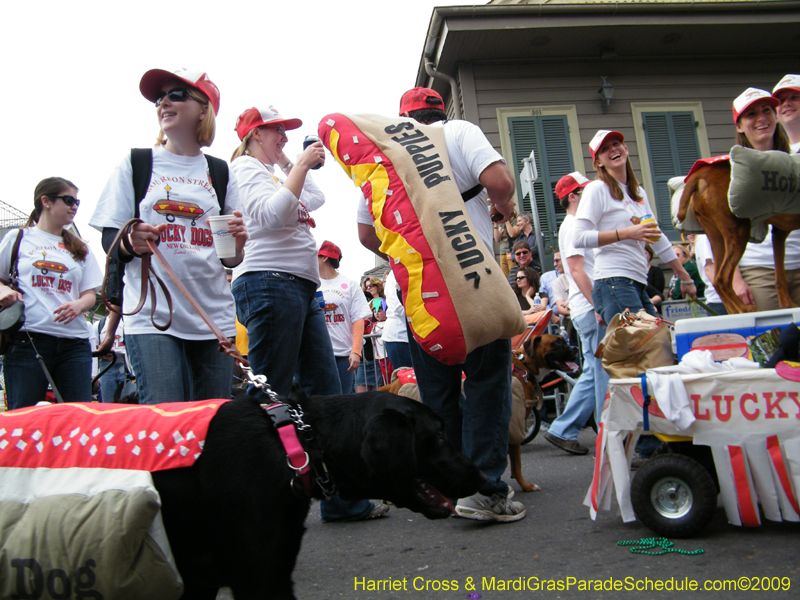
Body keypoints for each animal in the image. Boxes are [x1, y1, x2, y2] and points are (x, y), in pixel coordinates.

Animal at [680, 163, 800, 314]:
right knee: (722, 278)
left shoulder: (780, 232)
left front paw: (788, 304)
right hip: (739, 231)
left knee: (716, 280)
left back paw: (735, 311)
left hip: (716, 237)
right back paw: (747, 308)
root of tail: (702, 173)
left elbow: (780, 275)